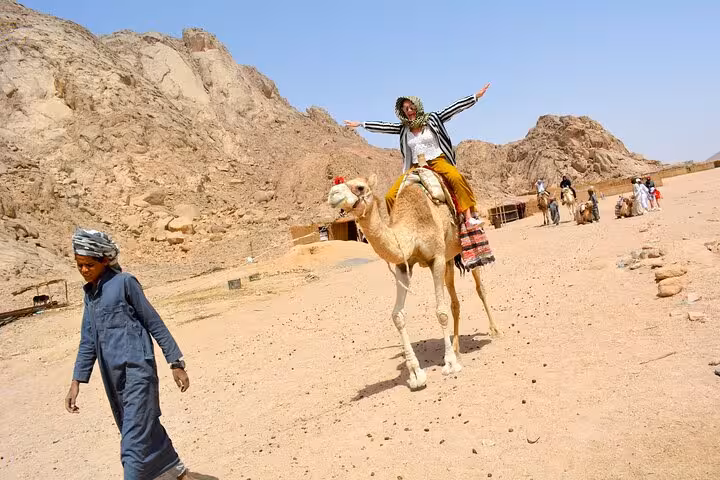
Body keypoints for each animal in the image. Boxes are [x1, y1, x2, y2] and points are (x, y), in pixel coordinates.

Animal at [327, 174, 500, 390]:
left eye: (360, 187)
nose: (332, 194)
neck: (412, 227)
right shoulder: (404, 265)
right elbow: (397, 315)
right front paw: (416, 374)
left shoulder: (436, 258)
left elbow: (441, 312)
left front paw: (450, 364)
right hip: (449, 258)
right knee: (455, 301)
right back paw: (457, 347)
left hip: (464, 248)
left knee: (479, 287)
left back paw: (494, 331)